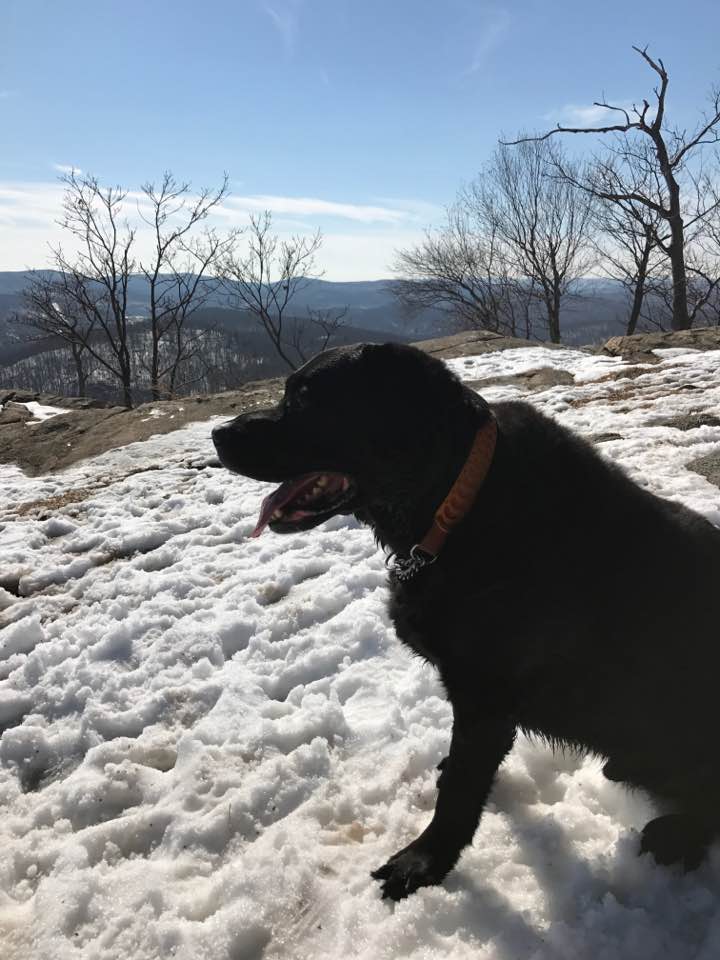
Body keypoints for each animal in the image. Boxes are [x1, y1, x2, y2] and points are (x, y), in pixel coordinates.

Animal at [212, 342, 720, 900]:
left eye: (305, 398)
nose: (217, 434)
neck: (456, 505)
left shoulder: (484, 699)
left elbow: (459, 794)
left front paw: (422, 862)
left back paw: (675, 835)